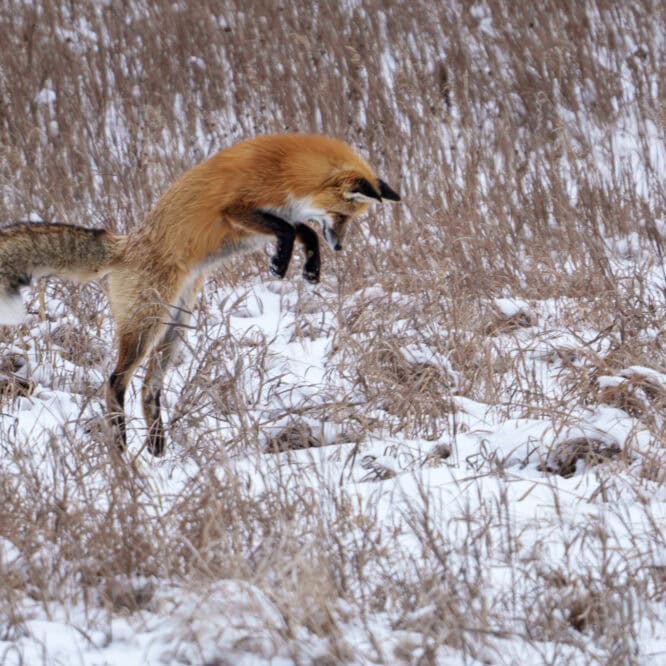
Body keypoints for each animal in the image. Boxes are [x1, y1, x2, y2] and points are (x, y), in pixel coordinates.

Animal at [0, 134, 400, 456]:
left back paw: (158, 450)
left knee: (149, 387)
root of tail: (124, 244)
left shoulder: (274, 216)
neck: (284, 168)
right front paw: (281, 262)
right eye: (342, 215)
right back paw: (122, 449)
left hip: (176, 327)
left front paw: (309, 266)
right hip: (147, 325)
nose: (340, 248)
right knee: (115, 381)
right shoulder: (237, 209)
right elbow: (290, 228)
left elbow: (303, 229)